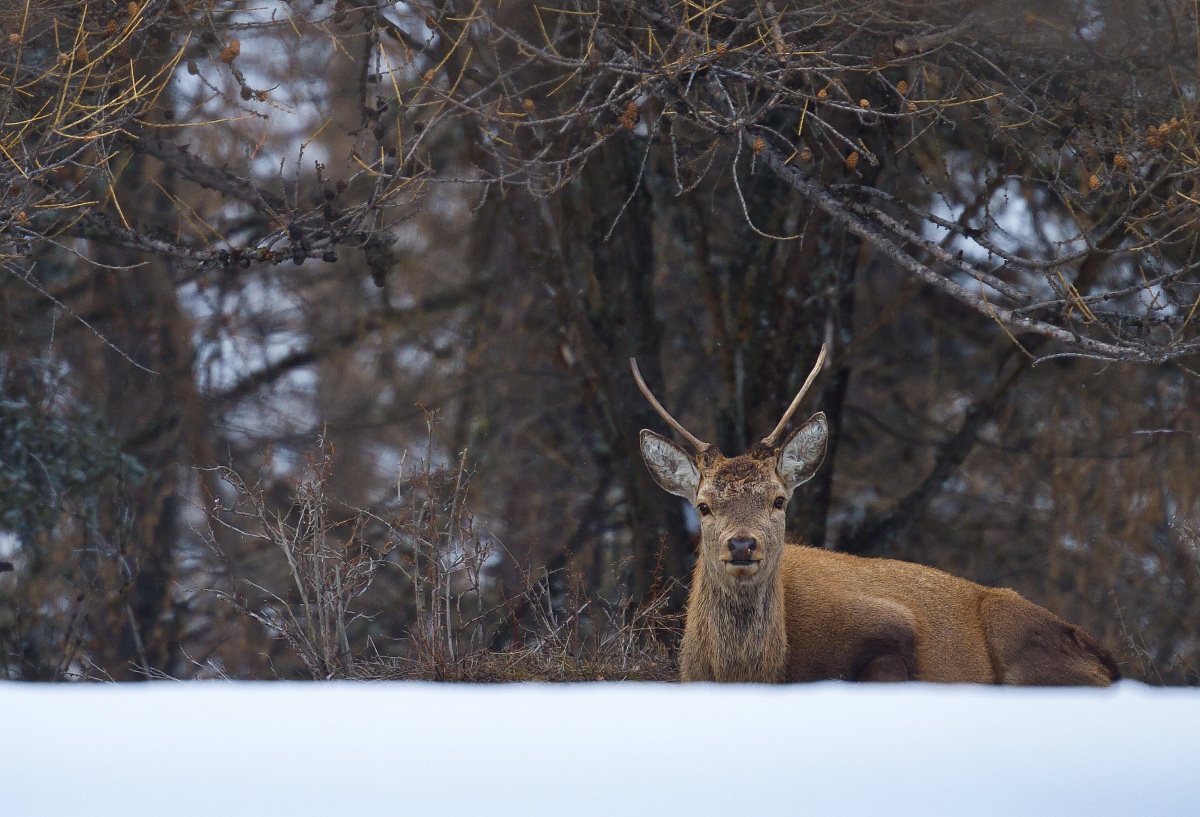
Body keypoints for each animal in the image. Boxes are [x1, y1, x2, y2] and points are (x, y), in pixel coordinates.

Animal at [633, 347, 1118, 686]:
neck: (755, 672)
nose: (741, 544)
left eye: (778, 500)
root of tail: (1106, 658)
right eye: (703, 505)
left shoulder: (890, 626)